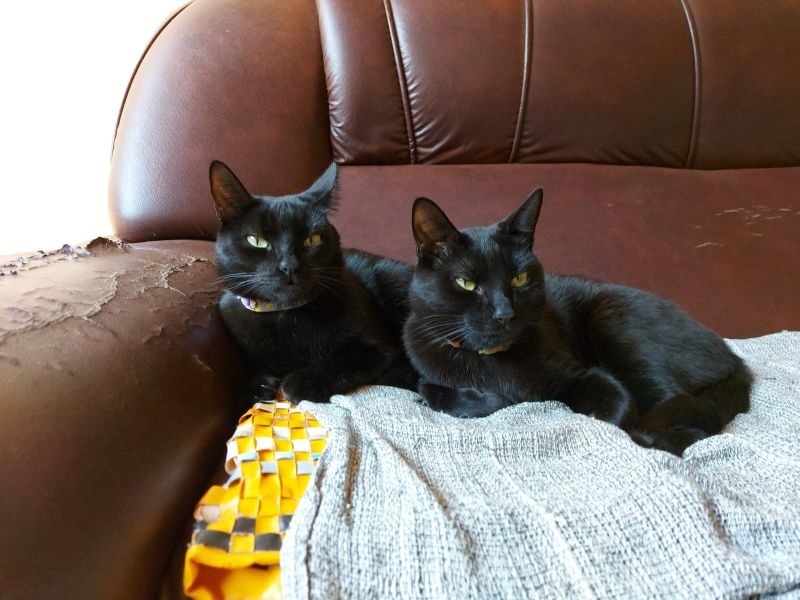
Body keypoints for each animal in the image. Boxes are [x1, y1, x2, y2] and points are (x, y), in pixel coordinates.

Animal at [210, 160, 417, 404]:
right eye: (257, 241)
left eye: (312, 239)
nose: (289, 266)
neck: (285, 315)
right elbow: (259, 373)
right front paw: (255, 390)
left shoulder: (377, 349)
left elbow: (334, 365)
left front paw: (297, 383)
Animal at [403, 188, 751, 455]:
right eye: (467, 284)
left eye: (519, 278)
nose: (505, 313)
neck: (492, 362)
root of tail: (735, 358)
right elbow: (430, 390)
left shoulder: (582, 374)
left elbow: (616, 413)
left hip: (612, 317)